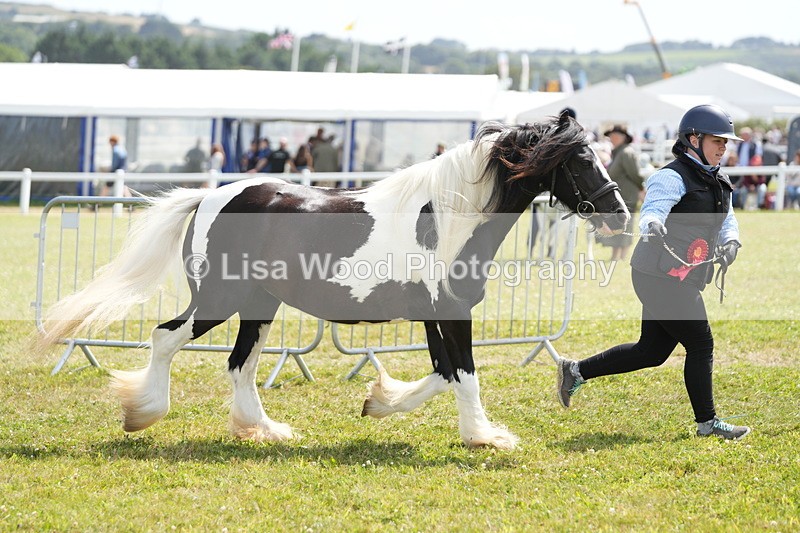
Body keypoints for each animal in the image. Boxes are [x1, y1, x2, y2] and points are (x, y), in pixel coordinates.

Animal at [39, 111, 629, 450]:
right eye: (581, 159)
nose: (620, 215)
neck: (447, 218)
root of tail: (209, 196)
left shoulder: (435, 315)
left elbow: (443, 373)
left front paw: (380, 402)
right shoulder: (452, 312)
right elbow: (465, 374)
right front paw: (488, 437)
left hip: (259, 304)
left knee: (239, 364)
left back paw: (264, 430)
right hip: (219, 299)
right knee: (166, 338)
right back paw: (143, 414)